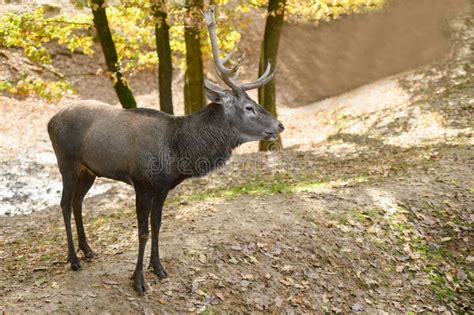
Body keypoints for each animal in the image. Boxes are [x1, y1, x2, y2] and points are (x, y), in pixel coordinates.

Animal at [48, 6, 284, 296]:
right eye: (249, 108)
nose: (279, 125)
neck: (178, 152)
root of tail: (50, 121)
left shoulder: (162, 187)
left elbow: (157, 225)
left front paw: (158, 268)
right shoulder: (142, 182)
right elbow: (142, 232)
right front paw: (138, 280)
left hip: (89, 169)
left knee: (77, 202)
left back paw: (88, 250)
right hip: (66, 161)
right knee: (64, 203)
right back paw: (73, 259)